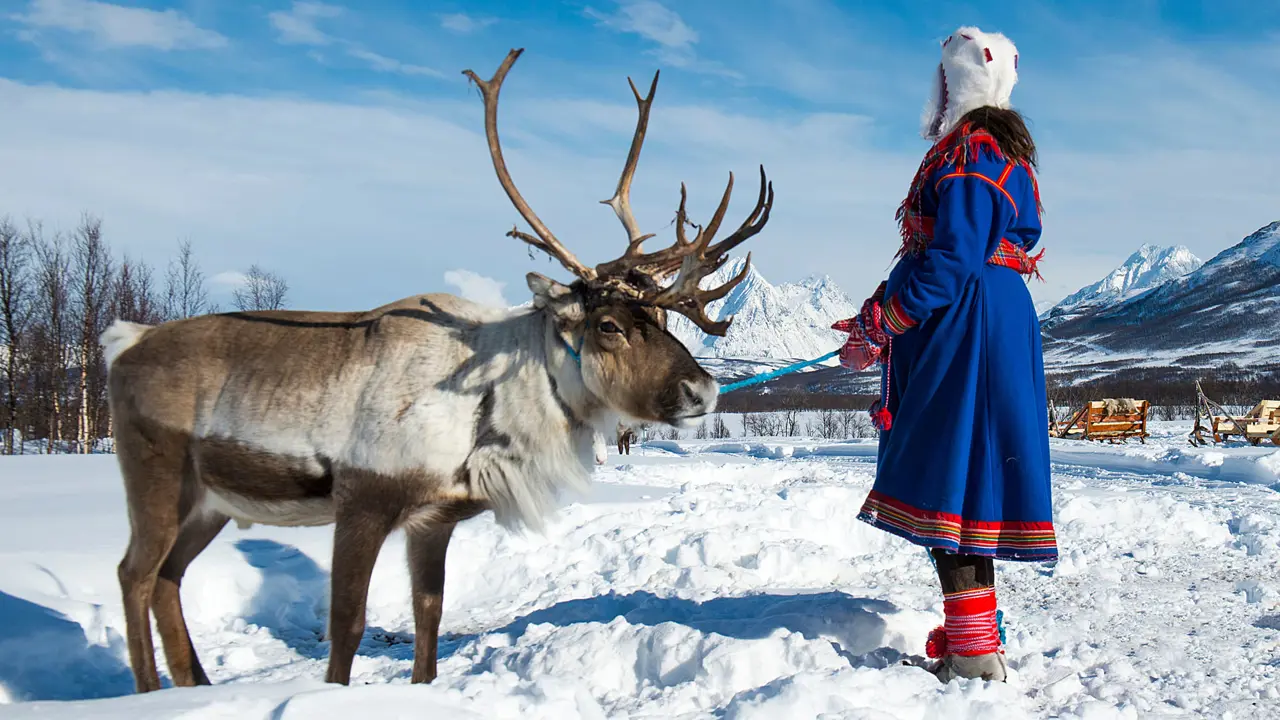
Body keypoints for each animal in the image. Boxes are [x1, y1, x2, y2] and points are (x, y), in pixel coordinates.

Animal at [101, 48, 773, 693]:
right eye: (608, 324)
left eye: (661, 318)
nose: (703, 389)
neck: (484, 415)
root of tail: (127, 344)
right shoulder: (362, 501)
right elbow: (347, 626)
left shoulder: (433, 519)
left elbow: (429, 616)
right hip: (156, 475)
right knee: (135, 573)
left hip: (208, 501)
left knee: (168, 579)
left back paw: (193, 686)